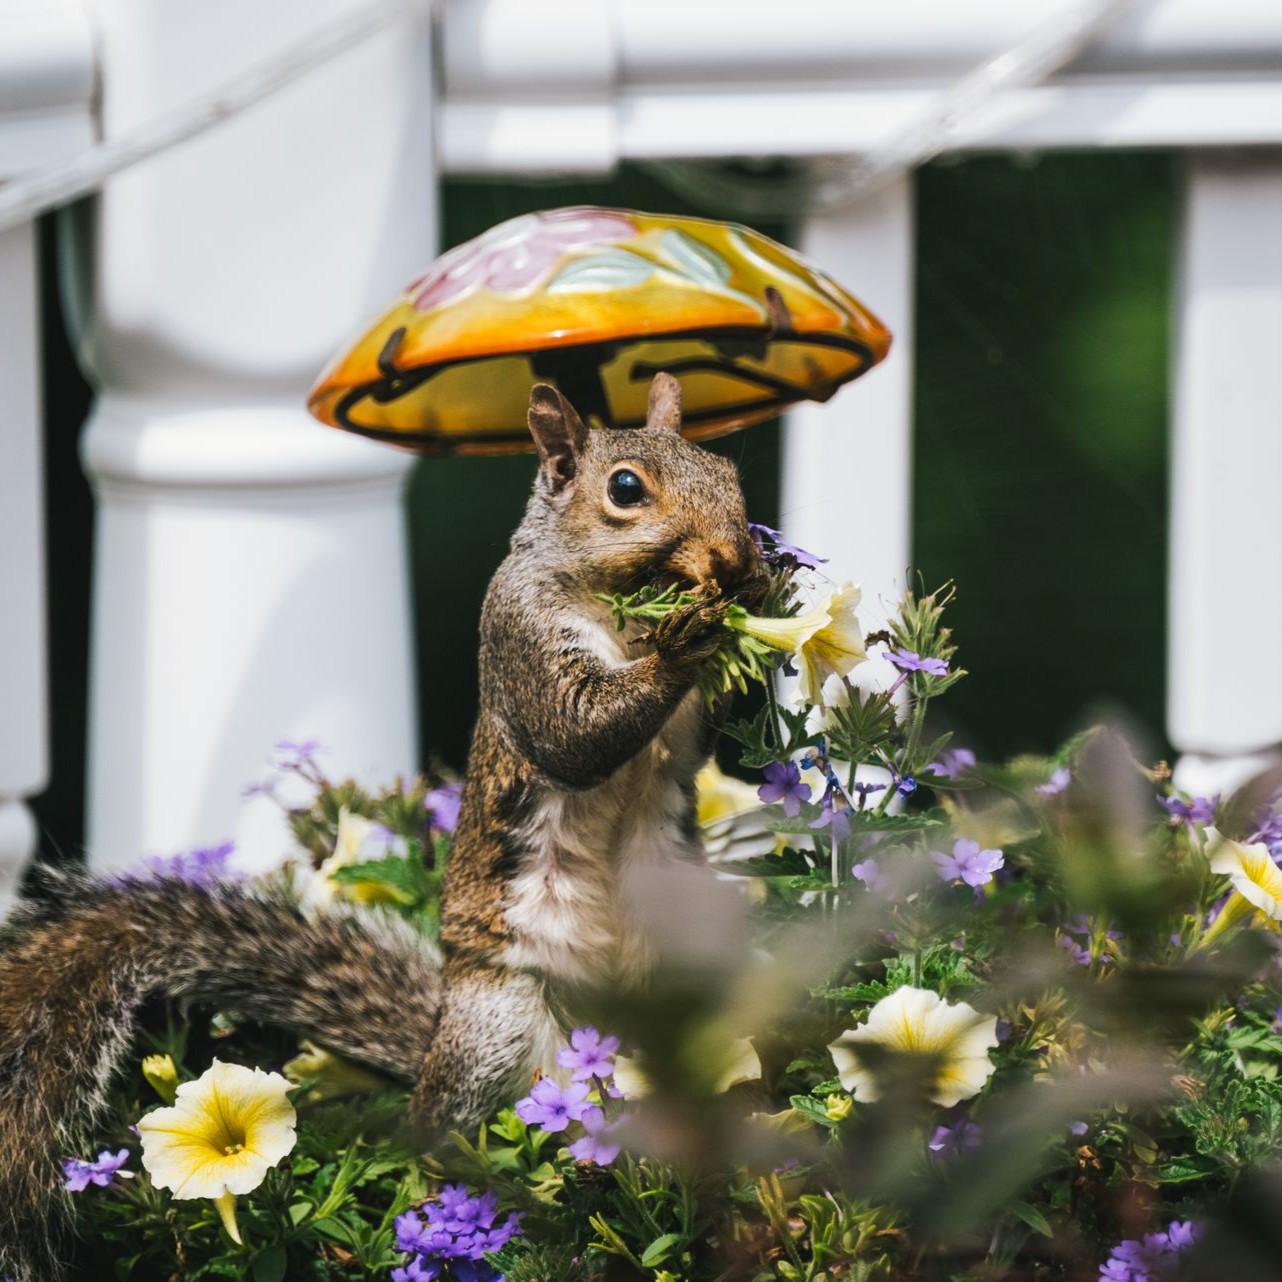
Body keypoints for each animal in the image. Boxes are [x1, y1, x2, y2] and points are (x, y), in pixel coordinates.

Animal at [0, 371, 759, 1280]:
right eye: (625, 489)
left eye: (727, 467)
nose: (737, 559)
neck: (619, 609)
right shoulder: (522, 638)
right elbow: (574, 735)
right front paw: (690, 637)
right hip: (498, 1025)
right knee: (436, 1130)